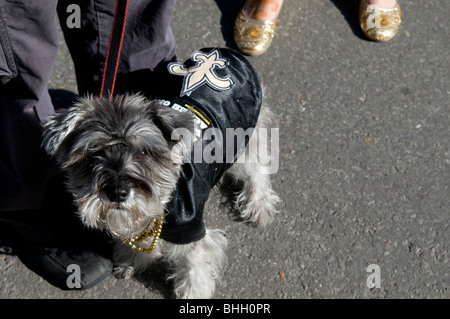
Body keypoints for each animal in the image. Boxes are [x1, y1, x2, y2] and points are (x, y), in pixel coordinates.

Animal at [43, 48, 282, 298]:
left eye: (143, 152)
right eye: (93, 153)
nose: (117, 193)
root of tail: (227, 53)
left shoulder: (191, 232)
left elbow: (195, 267)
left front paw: (193, 293)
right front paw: (132, 259)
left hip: (246, 138)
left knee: (257, 171)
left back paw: (259, 206)